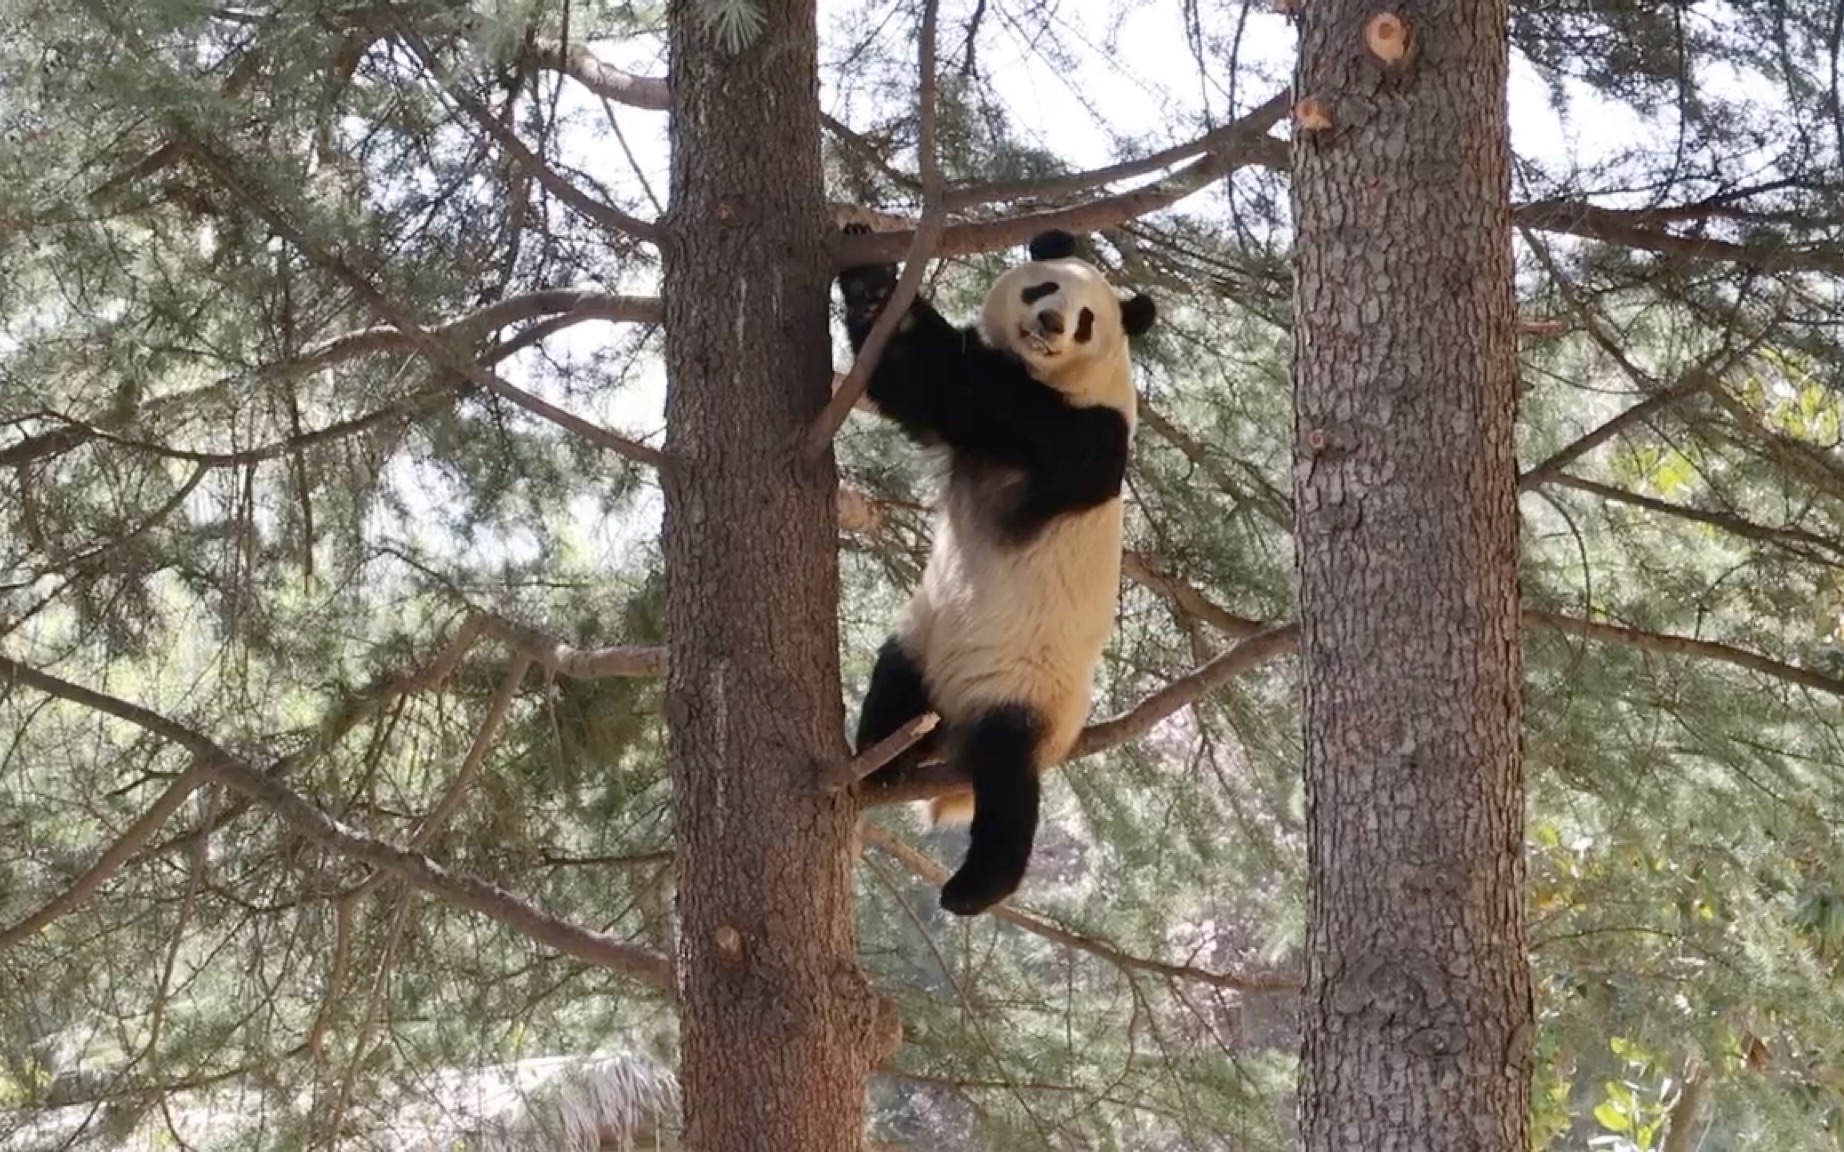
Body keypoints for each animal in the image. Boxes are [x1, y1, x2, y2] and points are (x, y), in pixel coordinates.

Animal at [844, 222, 1158, 906]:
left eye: (1086, 321)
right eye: (1046, 287)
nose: (1050, 322)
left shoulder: (1078, 433)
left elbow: (953, 387)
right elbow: (911, 389)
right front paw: (868, 277)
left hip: (1022, 684)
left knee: (1007, 775)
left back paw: (975, 886)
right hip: (927, 638)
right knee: (895, 677)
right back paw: (883, 763)